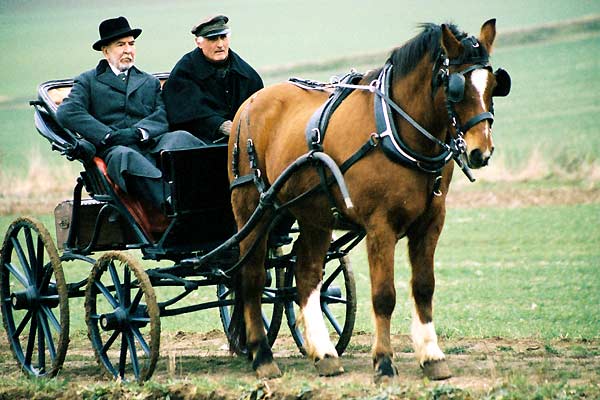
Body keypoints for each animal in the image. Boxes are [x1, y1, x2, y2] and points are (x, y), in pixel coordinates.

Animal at [227, 18, 508, 380]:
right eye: (456, 87)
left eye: (493, 84)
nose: (480, 152)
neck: (396, 129)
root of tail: (249, 105)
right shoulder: (380, 225)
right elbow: (384, 295)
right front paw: (384, 361)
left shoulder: (431, 222)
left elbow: (424, 287)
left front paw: (432, 356)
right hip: (252, 209)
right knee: (252, 278)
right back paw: (262, 356)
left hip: (314, 216)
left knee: (306, 274)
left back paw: (324, 354)